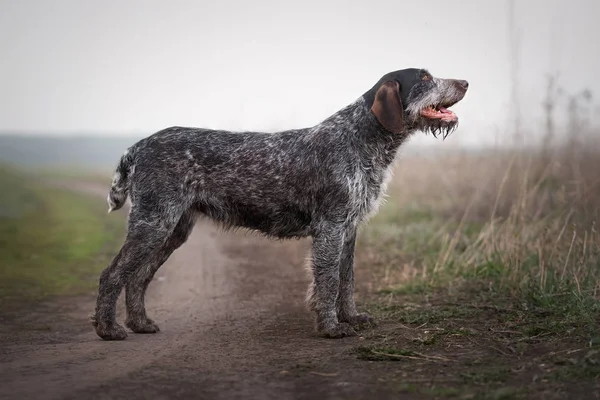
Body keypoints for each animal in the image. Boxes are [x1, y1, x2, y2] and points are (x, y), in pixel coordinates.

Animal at [92, 68, 468, 340]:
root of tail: (139, 145)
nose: (465, 82)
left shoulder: (349, 228)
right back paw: (108, 329)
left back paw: (140, 324)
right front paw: (331, 327)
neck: (362, 138)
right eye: (424, 78)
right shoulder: (331, 227)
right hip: (153, 223)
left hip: (172, 230)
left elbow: (346, 280)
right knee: (113, 274)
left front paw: (351, 317)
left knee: (138, 276)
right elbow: (328, 281)